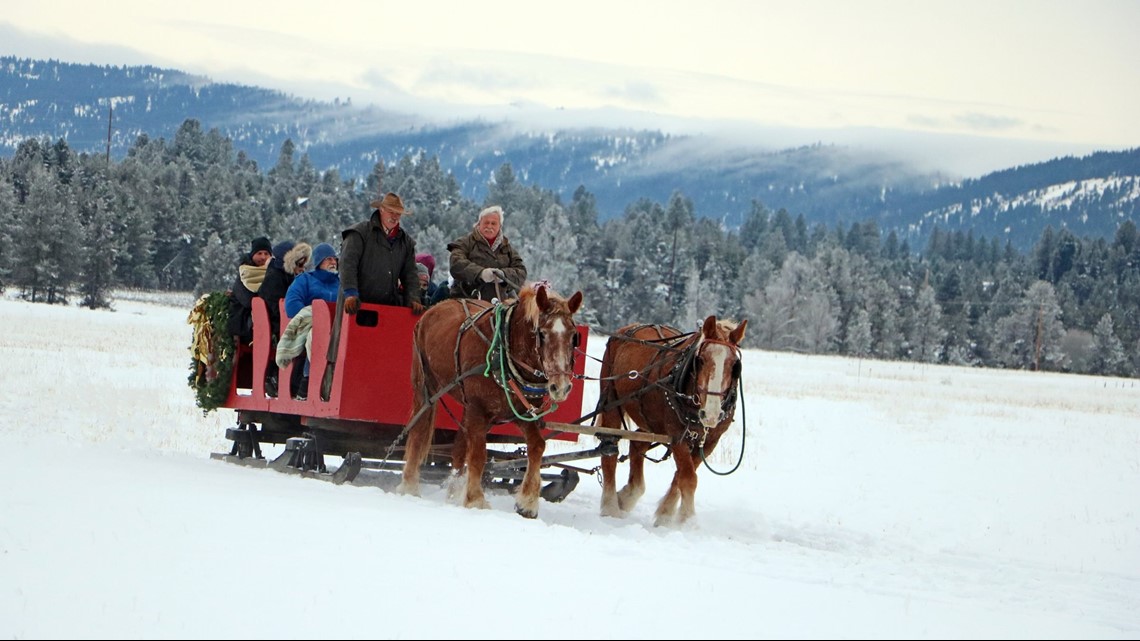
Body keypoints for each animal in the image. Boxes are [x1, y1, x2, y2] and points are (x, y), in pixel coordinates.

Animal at [396, 281, 583, 515]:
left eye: (574, 336)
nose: (561, 387)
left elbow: (537, 446)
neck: (504, 351)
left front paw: (527, 502)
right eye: (542, 333)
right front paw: (475, 500)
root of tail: (438, 306)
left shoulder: (520, 413)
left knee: (458, 450)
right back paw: (410, 485)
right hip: (425, 386)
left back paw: (453, 490)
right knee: (420, 430)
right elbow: (478, 455)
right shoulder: (479, 409)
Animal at [597, 312, 747, 524]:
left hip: (651, 421)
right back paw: (610, 506)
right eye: (701, 360)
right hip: (611, 401)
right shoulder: (677, 435)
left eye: (735, 365)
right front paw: (687, 520)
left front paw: (667, 514)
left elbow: (682, 476)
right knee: (609, 449)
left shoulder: (710, 441)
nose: (710, 414)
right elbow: (688, 477)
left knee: (637, 444)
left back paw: (629, 495)